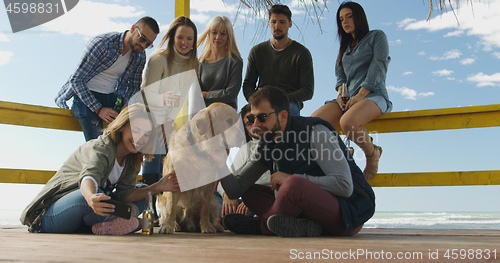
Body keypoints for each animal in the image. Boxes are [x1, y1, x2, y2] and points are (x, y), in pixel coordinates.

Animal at [158, 103, 244, 235]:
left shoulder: (209, 187)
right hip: (161, 200)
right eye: (229, 121)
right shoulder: (174, 180)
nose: (242, 137)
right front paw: (168, 226)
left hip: (214, 202)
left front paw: (207, 226)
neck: (200, 150)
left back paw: (216, 226)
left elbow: (205, 208)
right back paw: (175, 225)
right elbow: (171, 208)